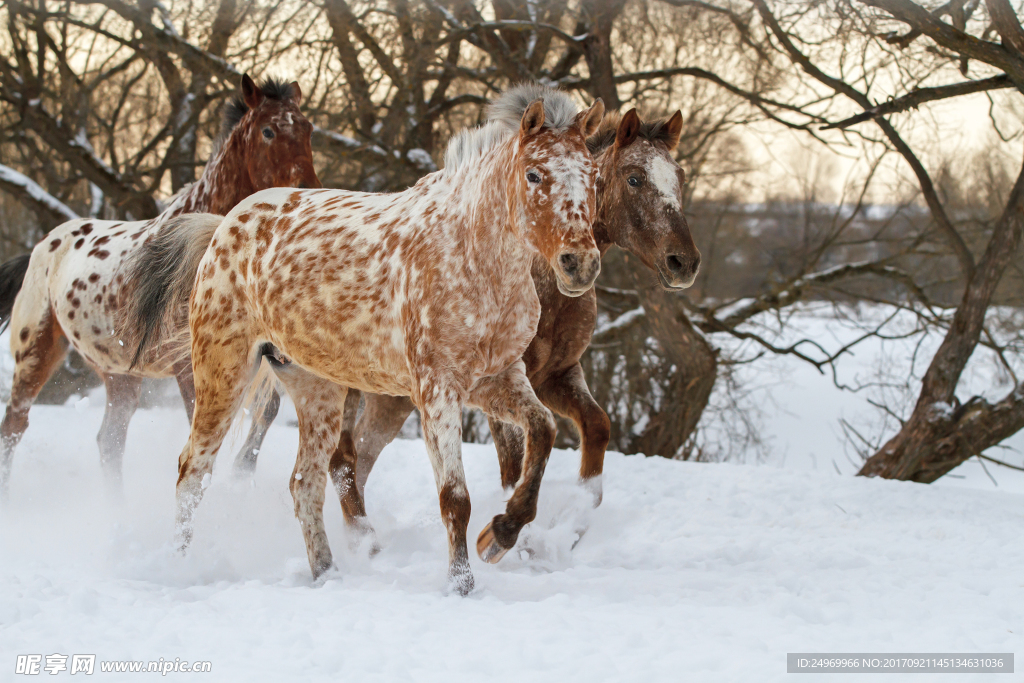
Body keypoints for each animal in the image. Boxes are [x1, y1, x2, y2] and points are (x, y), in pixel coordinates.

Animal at [0, 74, 317, 499]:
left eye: (308, 129)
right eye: (268, 130)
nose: (309, 188)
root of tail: (43, 246)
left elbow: (267, 412)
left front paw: (242, 472)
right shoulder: (190, 367)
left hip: (120, 376)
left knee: (109, 441)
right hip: (36, 352)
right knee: (15, 426)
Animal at [128, 83, 606, 593]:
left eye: (593, 177)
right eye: (534, 175)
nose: (580, 263)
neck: (472, 256)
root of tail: (223, 226)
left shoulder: (495, 379)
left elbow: (543, 431)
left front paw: (500, 534)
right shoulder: (437, 389)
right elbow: (454, 498)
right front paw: (461, 584)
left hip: (317, 390)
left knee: (305, 482)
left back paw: (328, 574)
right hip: (224, 371)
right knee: (193, 471)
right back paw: (178, 567)